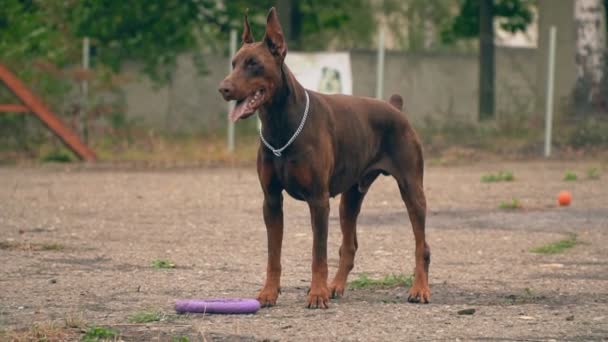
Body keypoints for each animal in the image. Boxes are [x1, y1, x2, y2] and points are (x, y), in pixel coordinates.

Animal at [218, 8, 432, 308]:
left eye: (254, 64)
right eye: (235, 62)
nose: (223, 88)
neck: (280, 125)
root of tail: (395, 108)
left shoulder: (318, 200)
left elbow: (318, 253)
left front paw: (316, 293)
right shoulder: (271, 200)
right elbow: (274, 254)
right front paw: (270, 292)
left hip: (412, 188)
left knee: (421, 245)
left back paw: (419, 289)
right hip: (351, 196)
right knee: (349, 245)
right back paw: (336, 286)